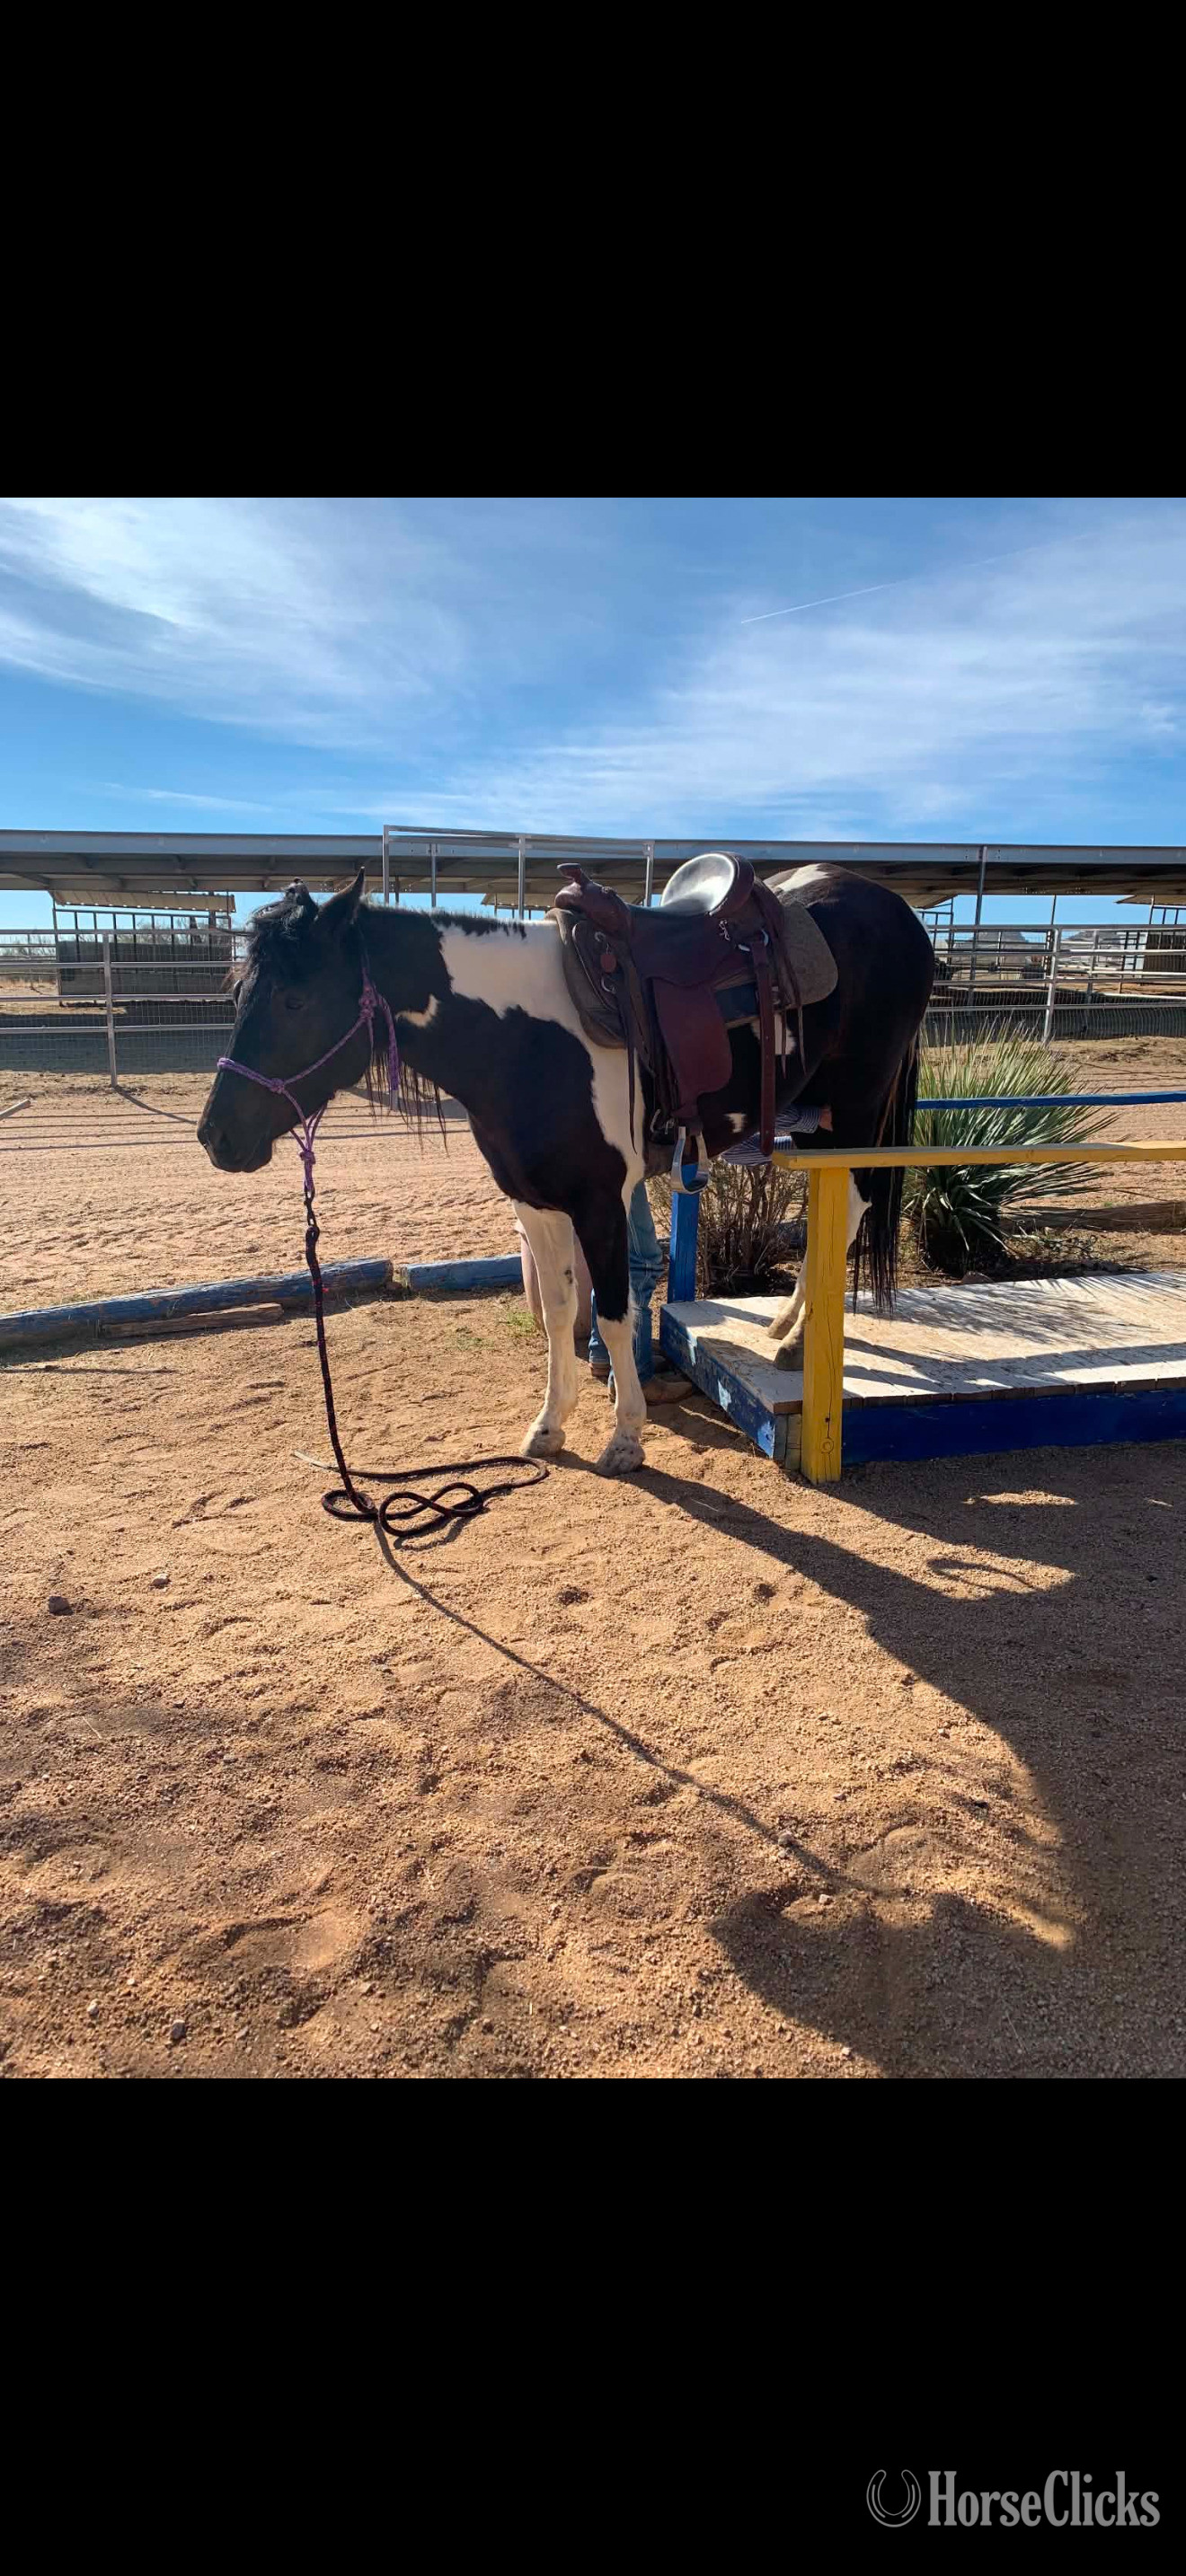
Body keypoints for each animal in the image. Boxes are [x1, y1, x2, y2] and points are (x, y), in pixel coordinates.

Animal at [197, 862, 933, 1474]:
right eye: (239, 996)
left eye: (295, 1000)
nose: (216, 1137)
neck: (523, 1040)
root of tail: (893, 908)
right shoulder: (535, 1203)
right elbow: (558, 1315)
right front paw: (549, 1427)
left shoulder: (600, 1202)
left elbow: (611, 1313)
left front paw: (626, 1437)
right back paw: (784, 1325)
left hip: (857, 1113)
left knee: (852, 1209)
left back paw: (798, 1342)